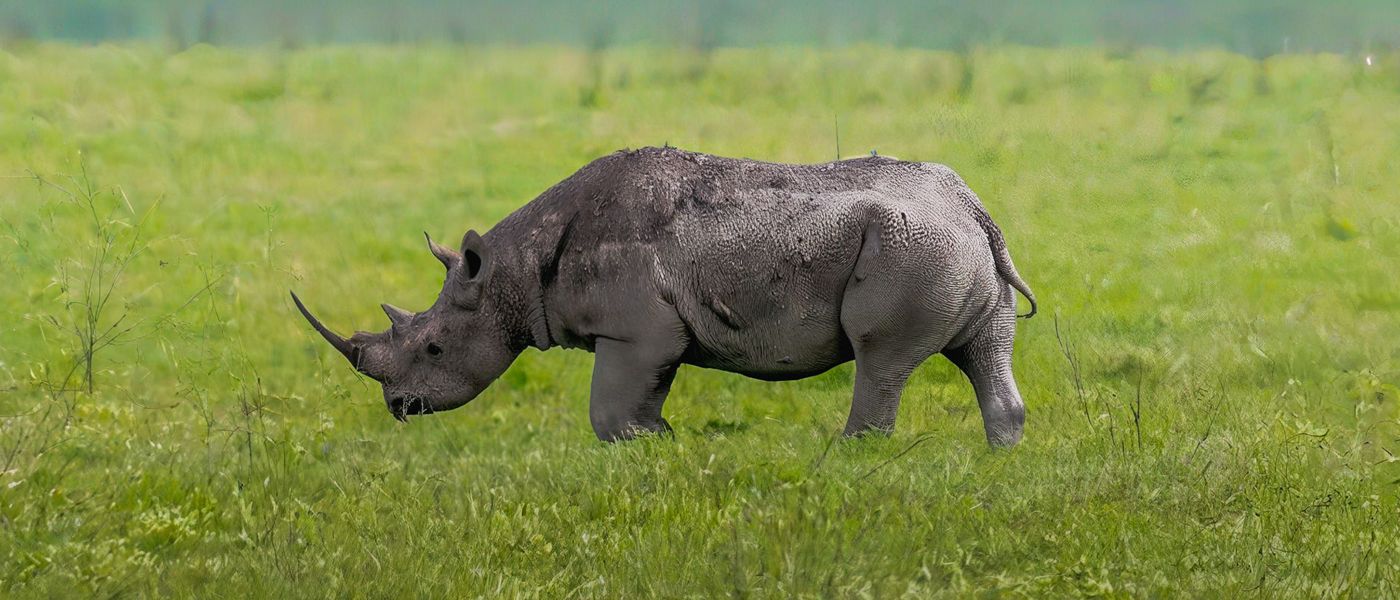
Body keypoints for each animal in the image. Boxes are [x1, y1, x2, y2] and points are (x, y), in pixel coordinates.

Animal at [293, 146, 1037, 446]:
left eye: (435, 348)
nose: (399, 407)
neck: (510, 270)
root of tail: (974, 209)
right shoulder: (651, 334)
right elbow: (637, 400)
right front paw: (663, 440)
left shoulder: (634, 331)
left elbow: (609, 412)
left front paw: (655, 444)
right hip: (950, 245)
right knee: (984, 349)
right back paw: (999, 455)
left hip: (911, 248)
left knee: (880, 357)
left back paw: (848, 457)